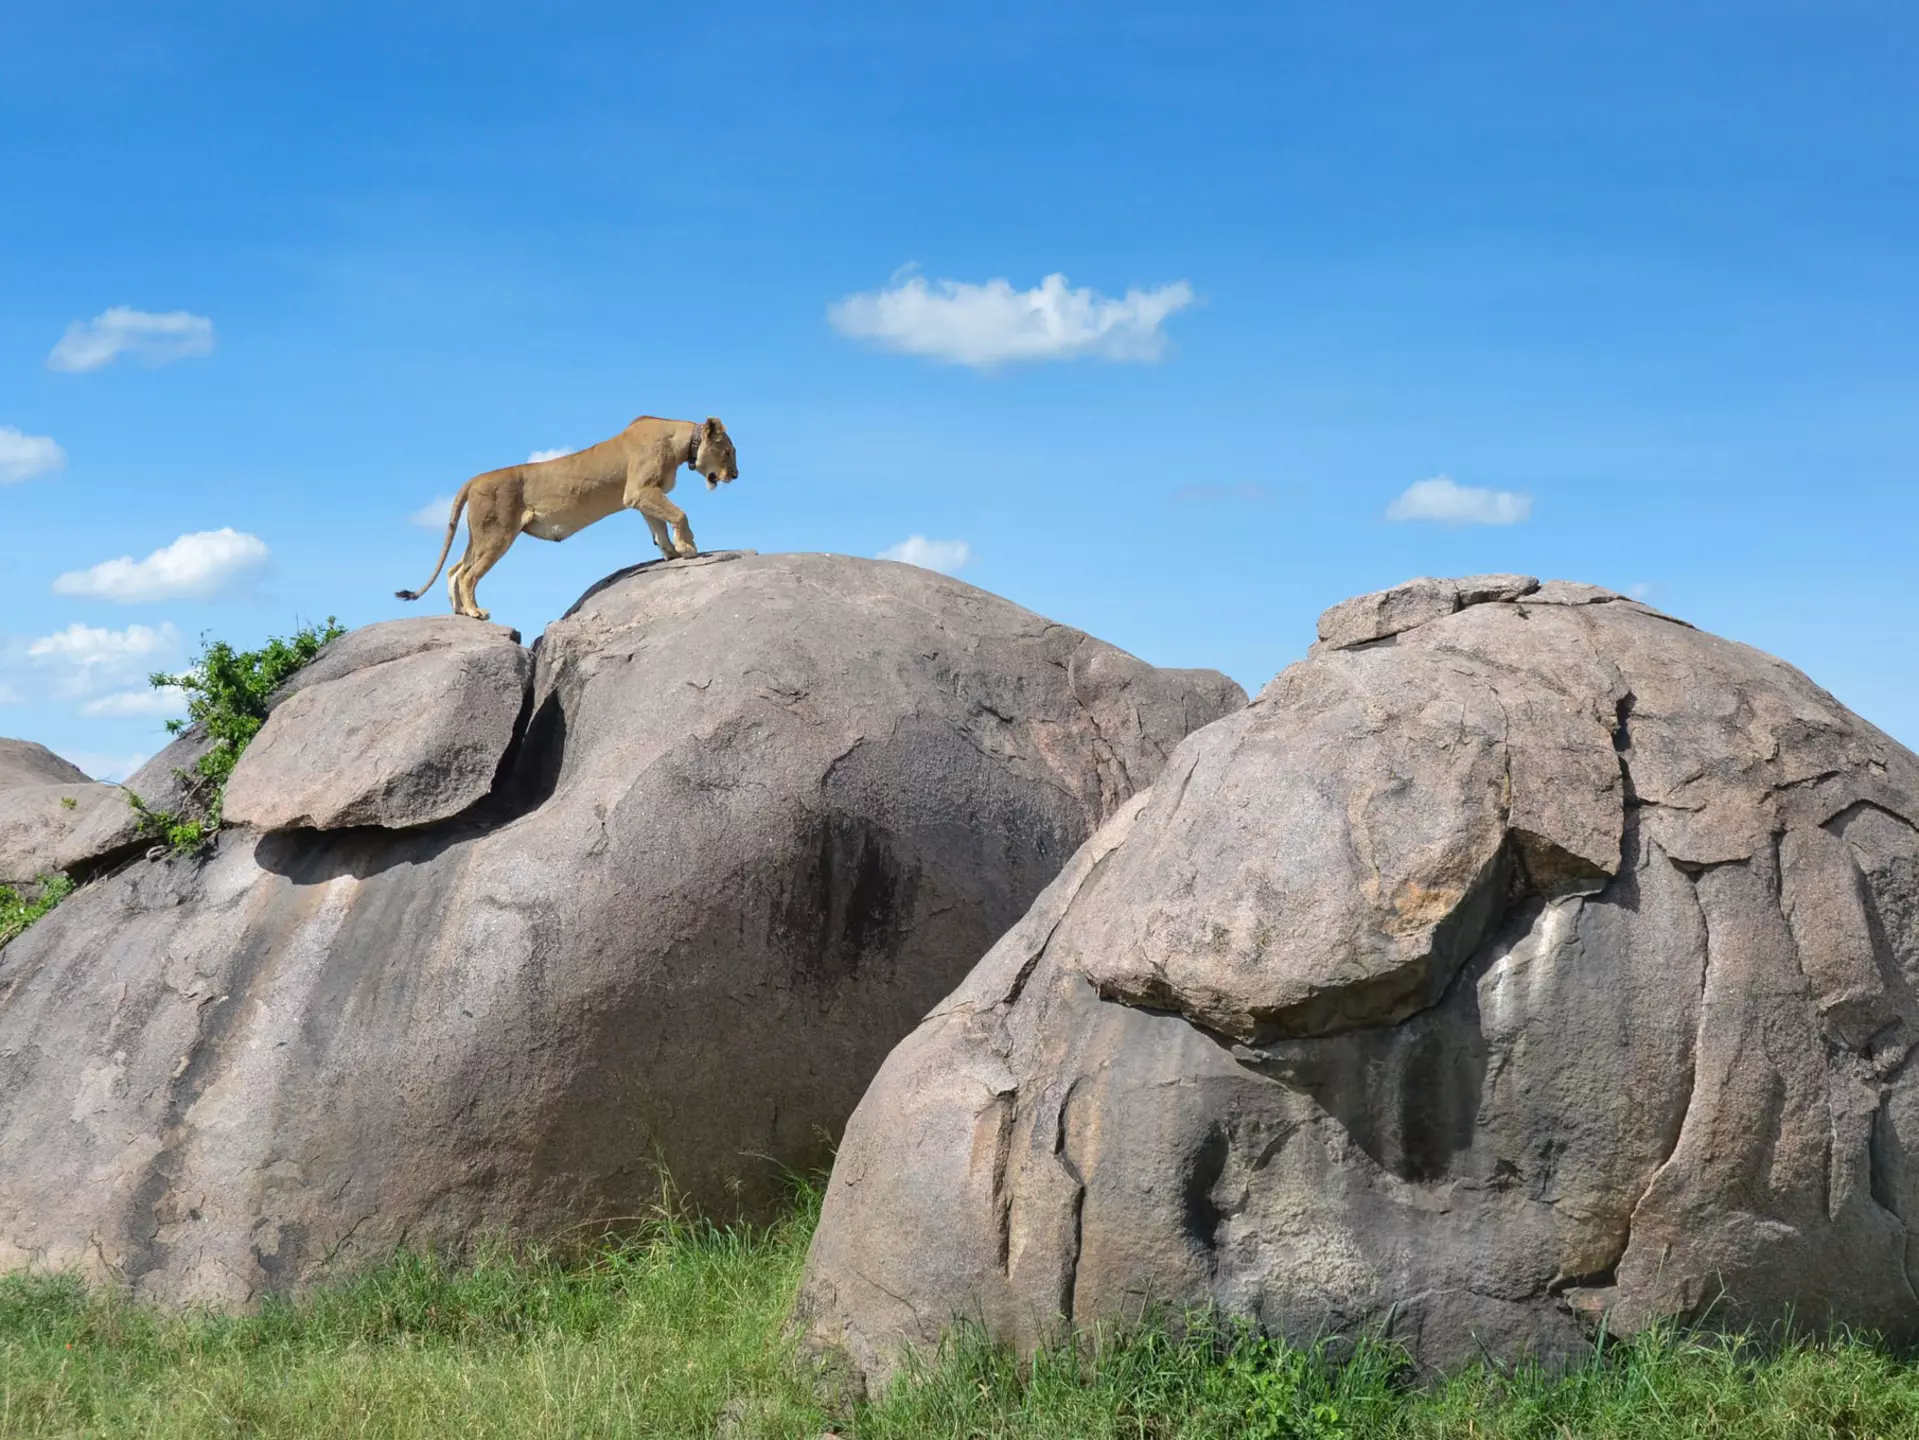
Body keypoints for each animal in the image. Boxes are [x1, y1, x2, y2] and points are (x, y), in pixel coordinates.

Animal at [397, 415, 740, 620]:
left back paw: (459, 611)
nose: (735, 476)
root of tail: (474, 479)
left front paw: (670, 553)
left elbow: (658, 526)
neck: (681, 441)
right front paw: (688, 548)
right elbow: (679, 514)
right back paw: (475, 612)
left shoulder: (643, 496)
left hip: (480, 534)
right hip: (497, 533)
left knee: (454, 569)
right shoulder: (639, 491)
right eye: (729, 452)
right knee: (468, 574)